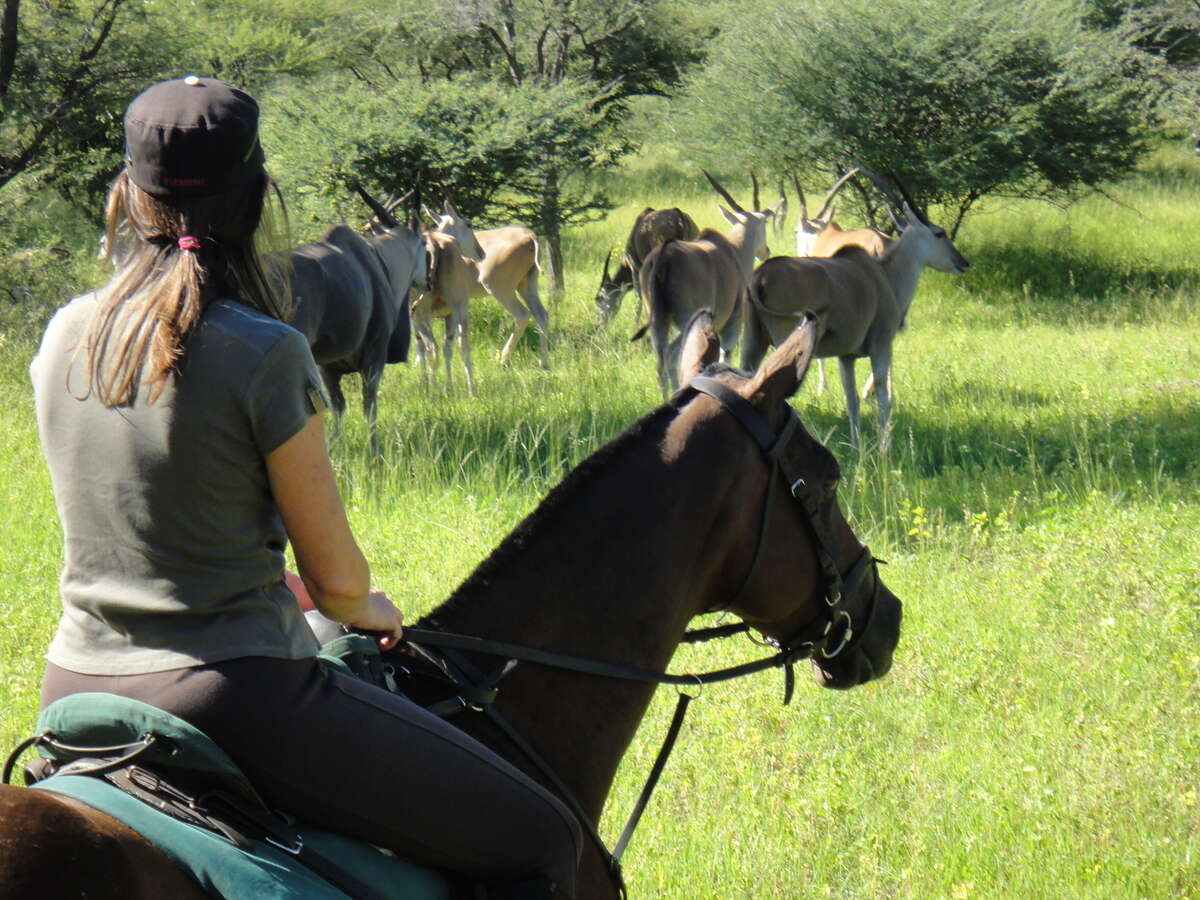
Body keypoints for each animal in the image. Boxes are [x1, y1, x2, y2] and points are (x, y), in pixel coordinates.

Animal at [633, 174, 782, 400]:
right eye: (764, 222)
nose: (765, 250)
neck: (733, 250)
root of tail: (663, 256)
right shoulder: (732, 323)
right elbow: (725, 357)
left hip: (658, 321)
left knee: (660, 360)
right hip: (686, 320)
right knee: (672, 354)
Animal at [744, 169, 969, 451]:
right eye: (939, 233)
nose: (963, 262)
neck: (884, 274)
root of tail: (760, 277)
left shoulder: (846, 356)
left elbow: (851, 399)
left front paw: (855, 446)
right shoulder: (881, 344)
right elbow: (883, 393)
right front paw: (885, 447)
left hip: (753, 342)